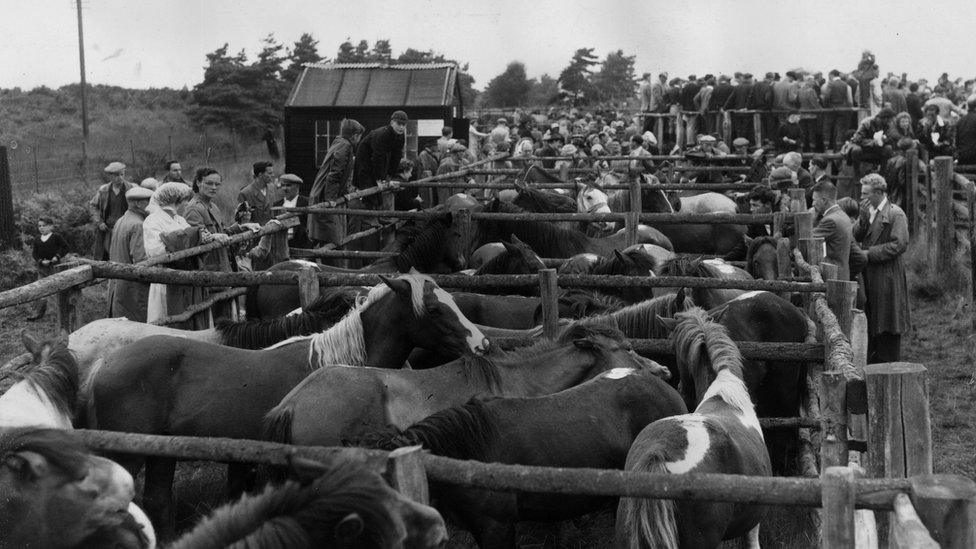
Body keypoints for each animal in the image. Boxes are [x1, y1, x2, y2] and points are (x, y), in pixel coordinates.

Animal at [87, 272, 488, 536]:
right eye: (434, 310)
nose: (481, 343)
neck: (334, 364)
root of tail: (101, 365)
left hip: (161, 452)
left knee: (158, 503)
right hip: (128, 453)